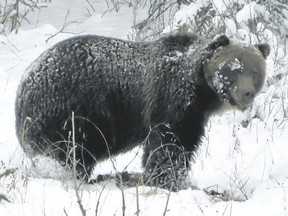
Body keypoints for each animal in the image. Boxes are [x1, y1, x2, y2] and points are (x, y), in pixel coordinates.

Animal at [14, 33, 268, 191]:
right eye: (233, 68)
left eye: (255, 72)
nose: (246, 93)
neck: (201, 90)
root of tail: (26, 78)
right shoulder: (171, 100)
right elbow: (170, 144)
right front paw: (166, 180)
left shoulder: (192, 113)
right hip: (67, 110)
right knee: (66, 150)